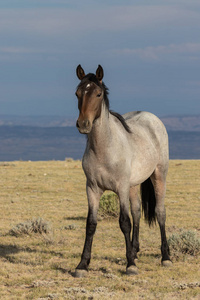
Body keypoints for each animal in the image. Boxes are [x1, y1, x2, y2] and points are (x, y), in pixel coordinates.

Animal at [73, 64, 172, 278]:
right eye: (77, 93)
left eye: (98, 94)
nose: (83, 124)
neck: (104, 148)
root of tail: (151, 117)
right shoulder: (92, 189)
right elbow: (91, 224)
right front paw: (82, 265)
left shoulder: (121, 188)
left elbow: (124, 222)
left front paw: (130, 265)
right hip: (134, 185)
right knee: (137, 212)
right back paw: (134, 250)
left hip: (159, 175)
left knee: (160, 212)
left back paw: (165, 257)